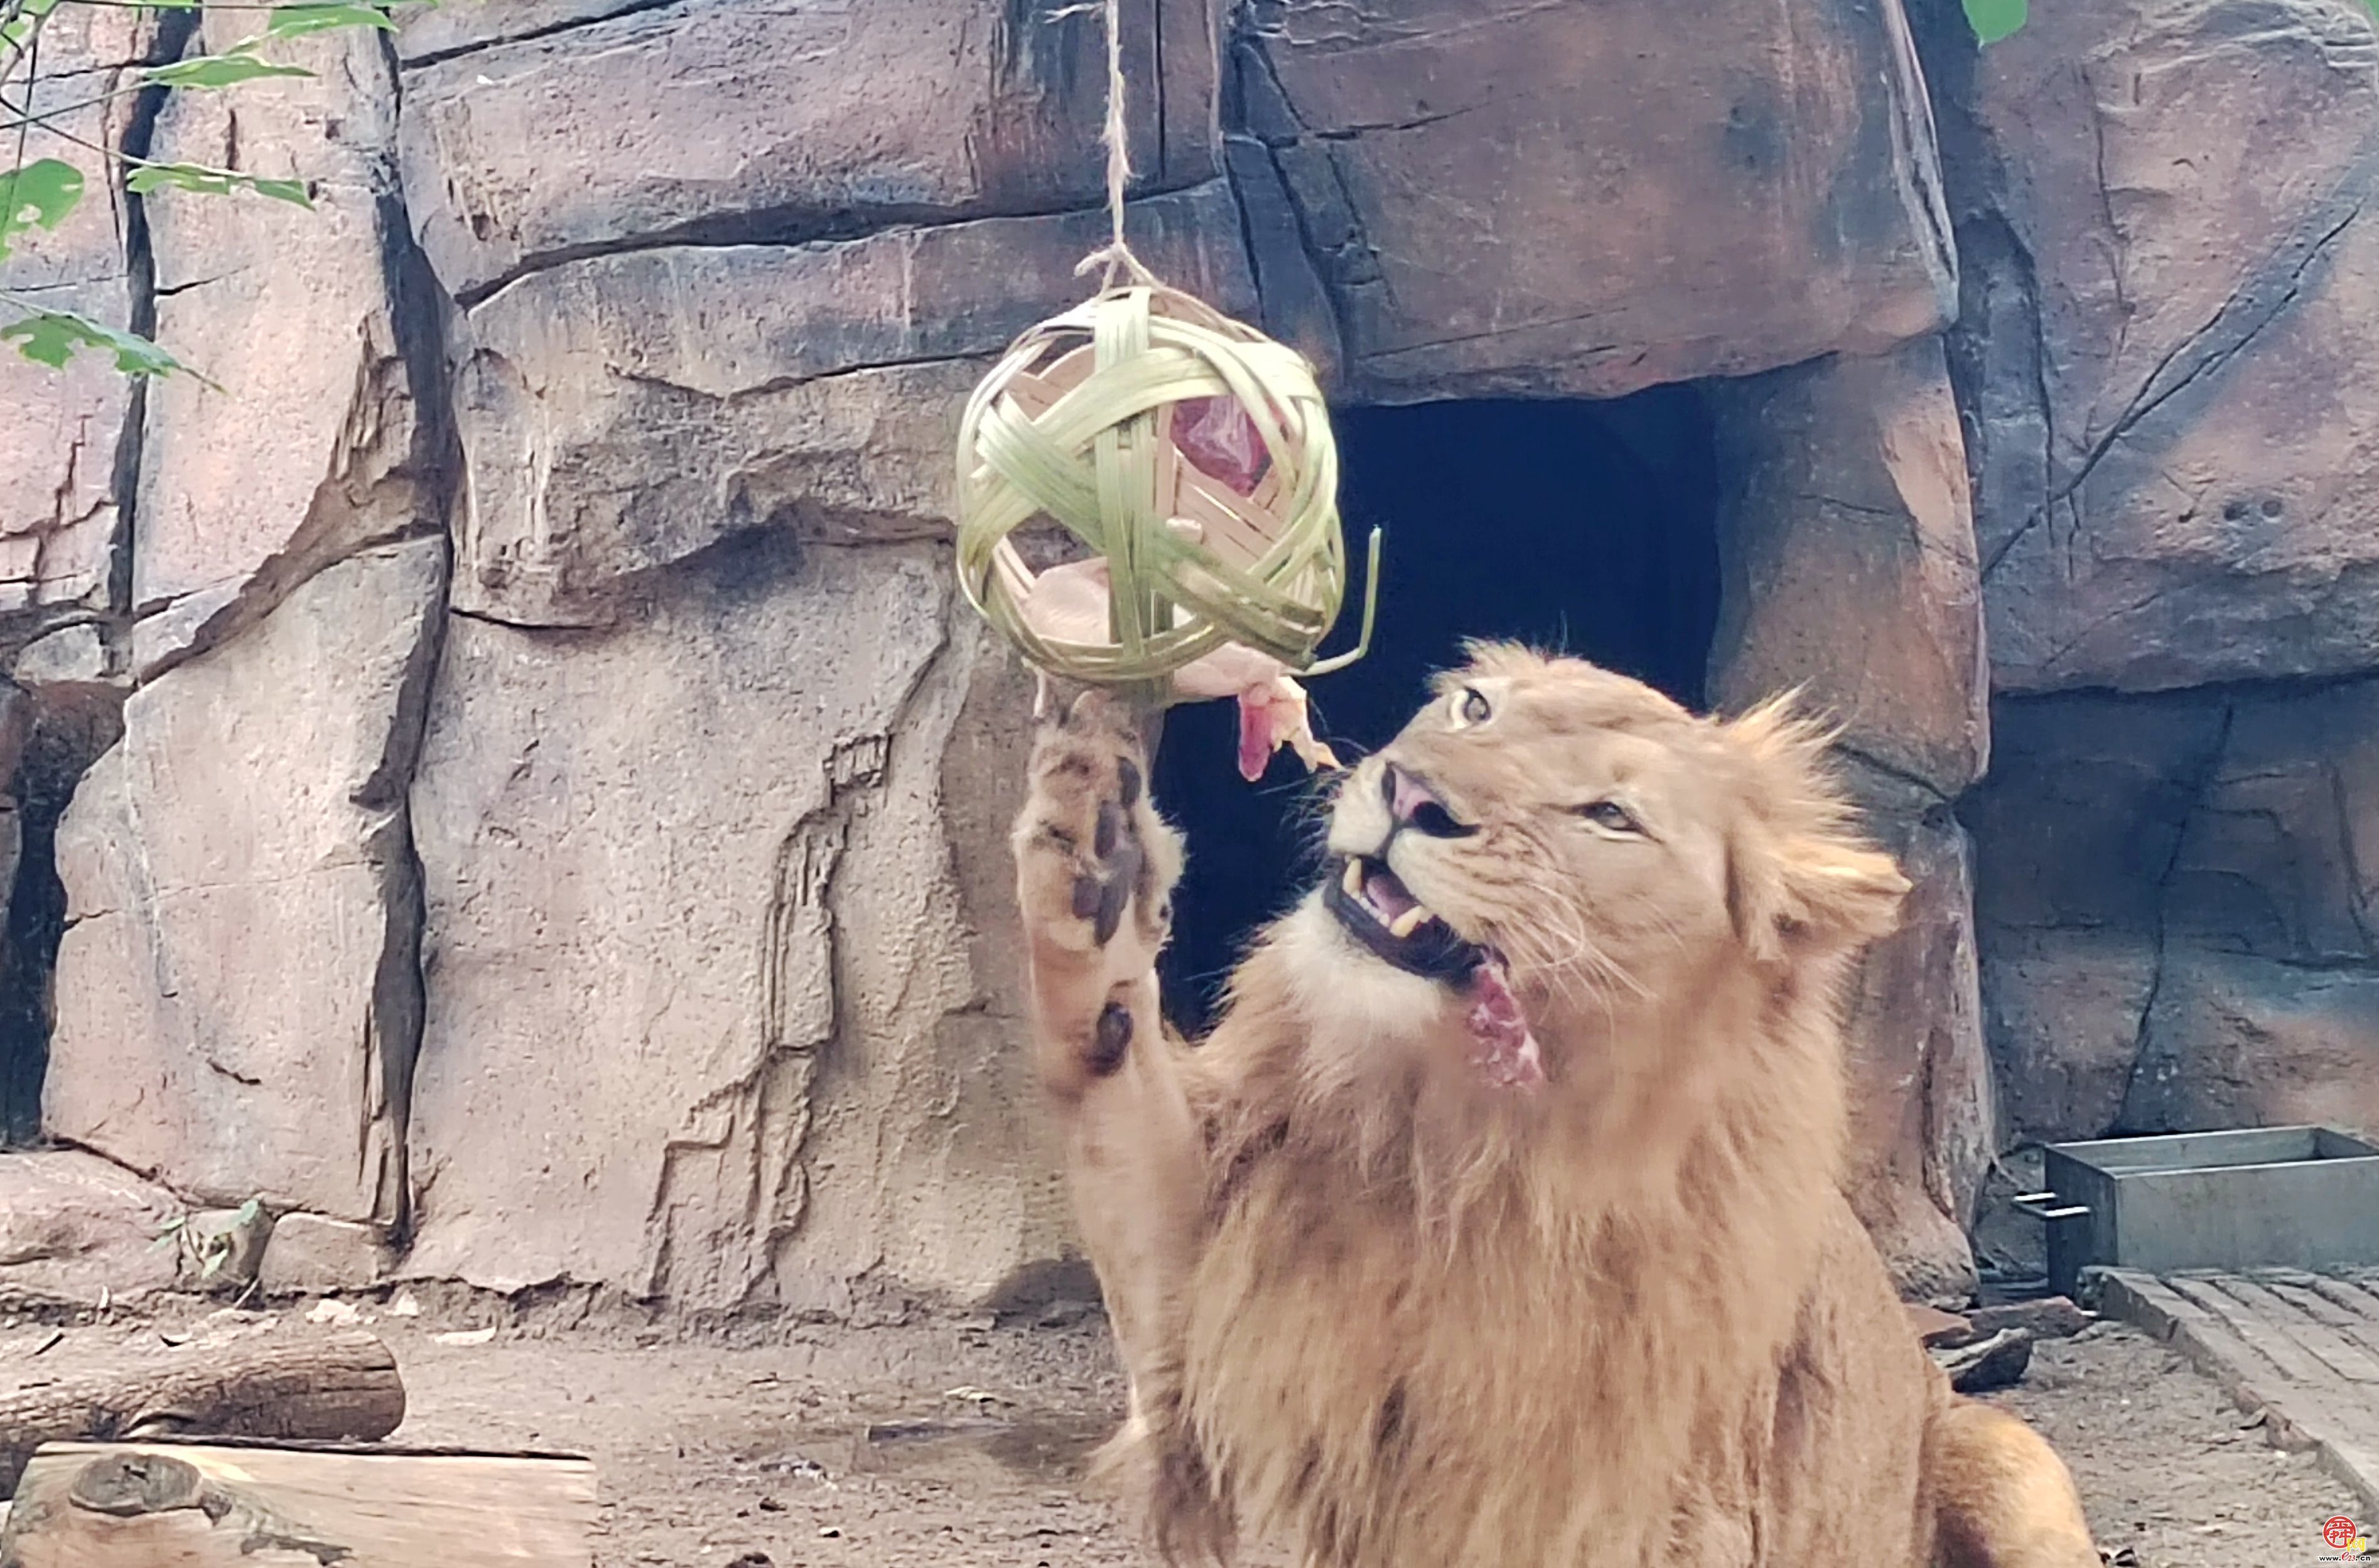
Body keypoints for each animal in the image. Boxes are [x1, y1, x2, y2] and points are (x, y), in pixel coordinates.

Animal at [1013, 642, 2093, 1560]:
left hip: (2013, 1466)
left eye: (1609, 815)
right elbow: (1107, 1071)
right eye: (1474, 708)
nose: (1411, 794)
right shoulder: (1202, 1323)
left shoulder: (1642, 1503)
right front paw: (1090, 838)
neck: (1450, 1145)